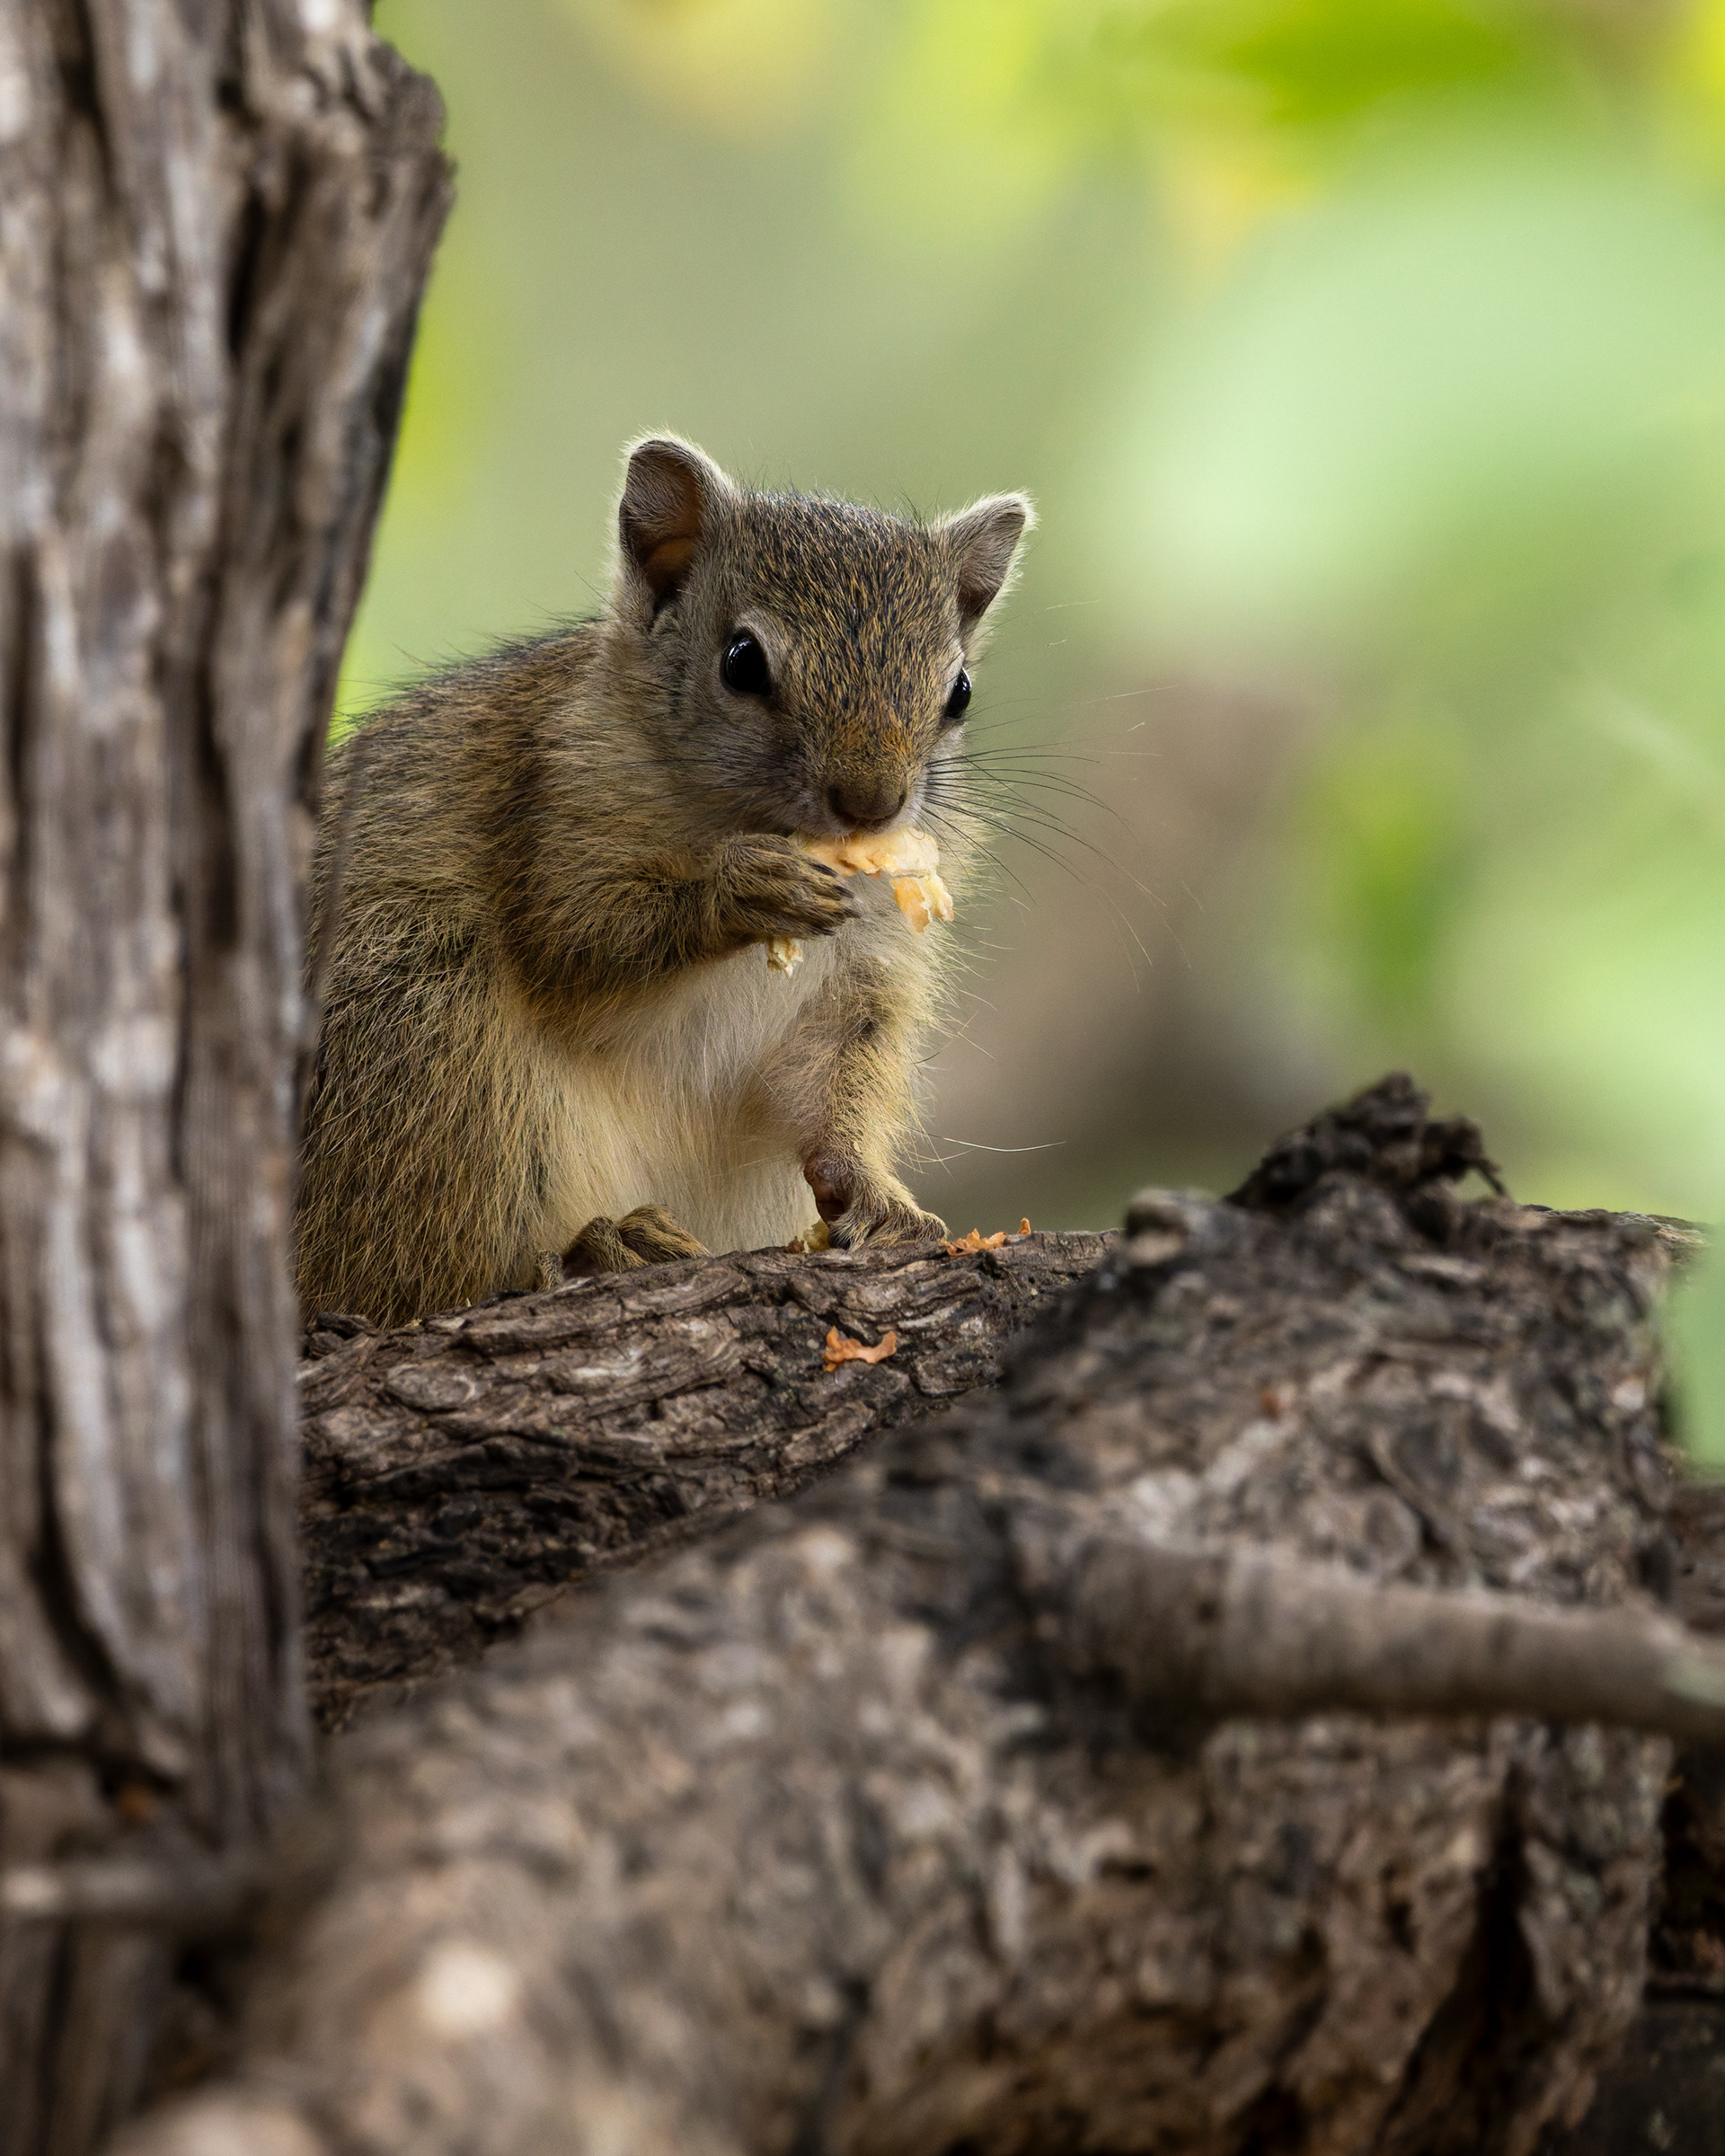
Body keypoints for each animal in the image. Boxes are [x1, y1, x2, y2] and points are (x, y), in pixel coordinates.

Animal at [295, 435, 1032, 1327]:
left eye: (959, 692)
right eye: (742, 662)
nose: (872, 803)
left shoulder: (862, 980)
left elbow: (830, 1084)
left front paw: (873, 1193)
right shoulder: (551, 809)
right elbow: (577, 946)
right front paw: (740, 890)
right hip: (424, 1032)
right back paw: (593, 1249)